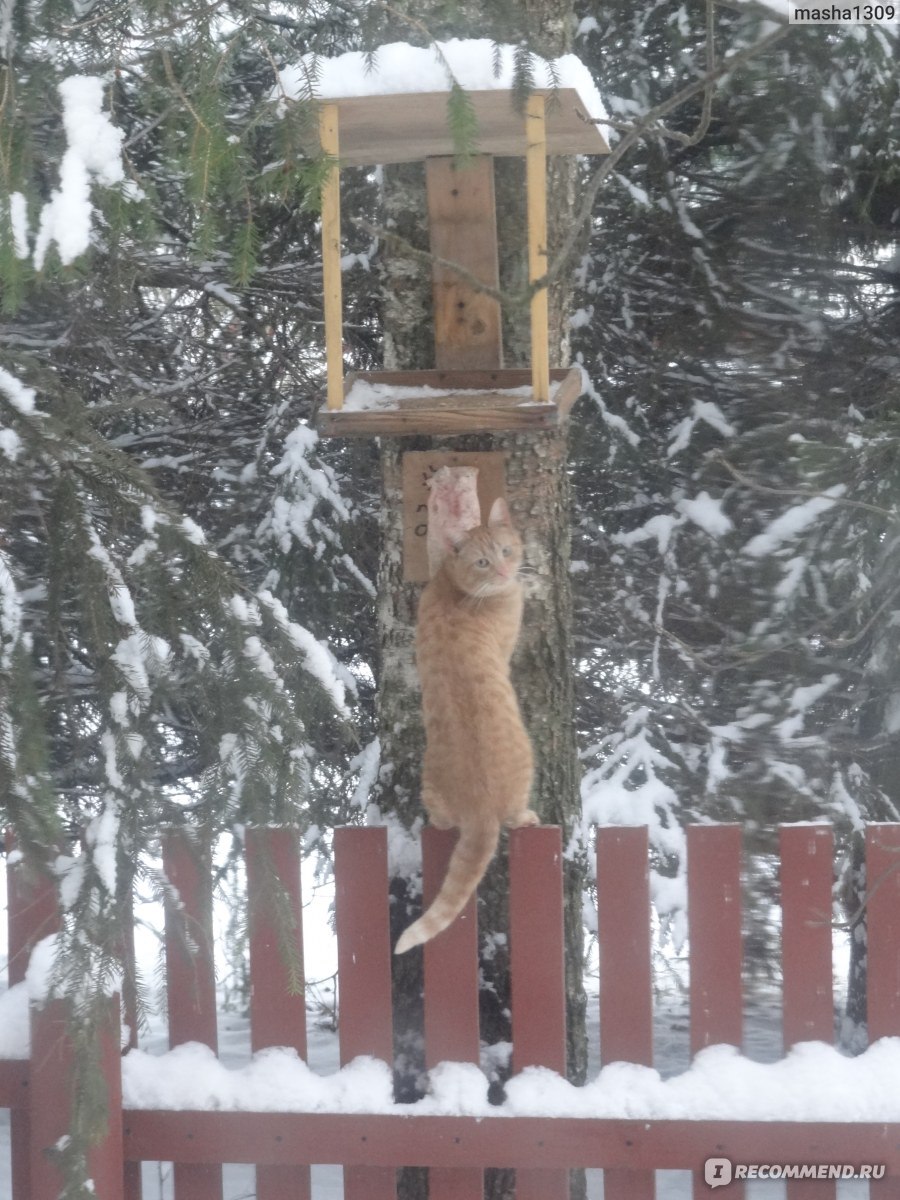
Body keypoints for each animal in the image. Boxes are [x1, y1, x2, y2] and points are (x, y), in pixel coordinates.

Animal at [393, 496, 535, 955]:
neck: (455, 589)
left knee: (441, 823)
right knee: (515, 817)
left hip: (430, 786)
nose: (506, 573)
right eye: (483, 562)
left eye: (505, 551)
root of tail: (481, 810)